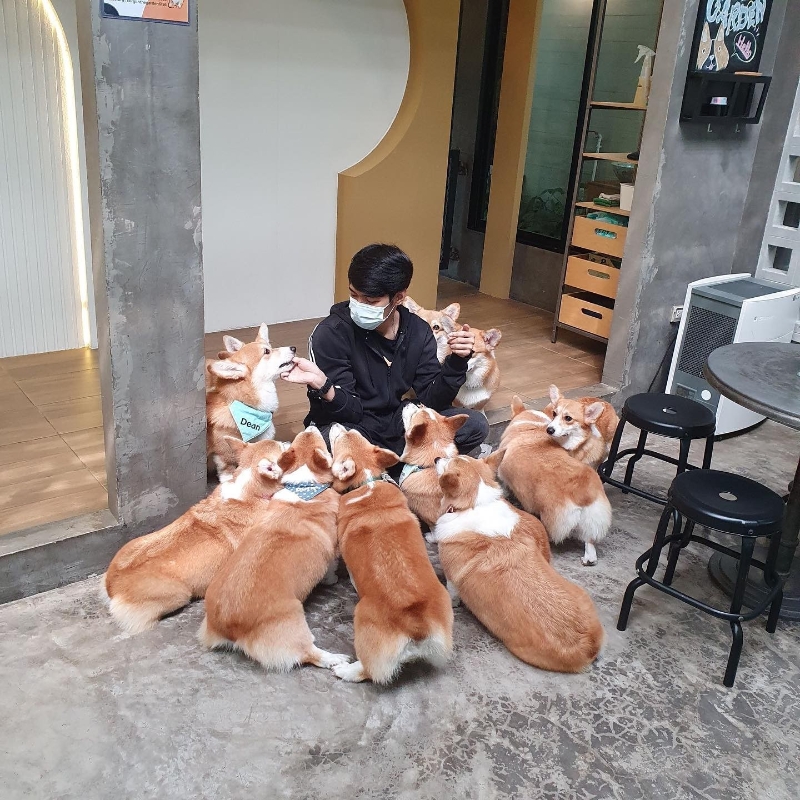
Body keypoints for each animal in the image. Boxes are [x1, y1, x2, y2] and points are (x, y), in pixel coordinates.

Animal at [199, 426, 349, 672]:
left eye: (295, 442)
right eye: (323, 444)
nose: (310, 426)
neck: (304, 486)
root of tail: (228, 625)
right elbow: (330, 567)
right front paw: (332, 579)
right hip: (294, 622)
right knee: (308, 653)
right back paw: (335, 659)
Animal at [329, 424, 453, 683]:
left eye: (339, 438)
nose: (336, 424)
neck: (367, 482)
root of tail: (416, 626)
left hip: (361, 620)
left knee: (367, 671)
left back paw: (345, 670)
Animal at [429, 453, 604, 672]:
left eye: (448, 463)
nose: (436, 458)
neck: (475, 504)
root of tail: (589, 645)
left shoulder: (452, 579)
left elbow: (452, 593)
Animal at [497, 397, 612, 566]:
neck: (531, 426)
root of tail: (583, 492)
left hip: (551, 517)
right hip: (594, 519)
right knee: (589, 542)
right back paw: (588, 559)